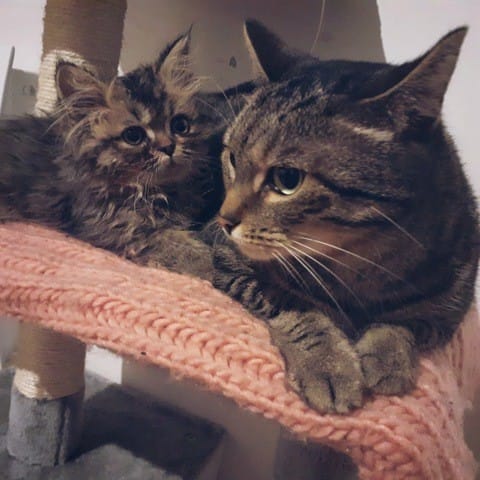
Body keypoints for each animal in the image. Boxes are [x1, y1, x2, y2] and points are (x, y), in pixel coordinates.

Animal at [0, 31, 252, 280]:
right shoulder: (120, 229)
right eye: (133, 136)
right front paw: (213, 267)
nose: (168, 147)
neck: (156, 191)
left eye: (180, 125)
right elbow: (183, 248)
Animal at [213, 20, 479, 413]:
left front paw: (387, 358)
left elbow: (404, 321)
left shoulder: (451, 304)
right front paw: (330, 367)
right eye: (231, 158)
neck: (359, 261)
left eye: (286, 179)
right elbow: (299, 308)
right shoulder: (230, 262)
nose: (224, 220)